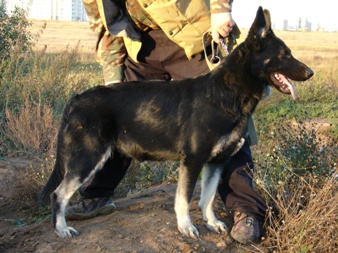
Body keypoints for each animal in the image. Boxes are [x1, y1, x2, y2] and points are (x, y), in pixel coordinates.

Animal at [38, 6, 312, 238]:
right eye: (284, 54)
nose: (310, 73)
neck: (229, 91)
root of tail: (75, 99)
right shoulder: (192, 160)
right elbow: (184, 199)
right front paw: (186, 227)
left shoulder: (217, 162)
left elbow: (208, 198)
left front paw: (211, 222)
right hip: (88, 158)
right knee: (58, 194)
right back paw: (62, 228)